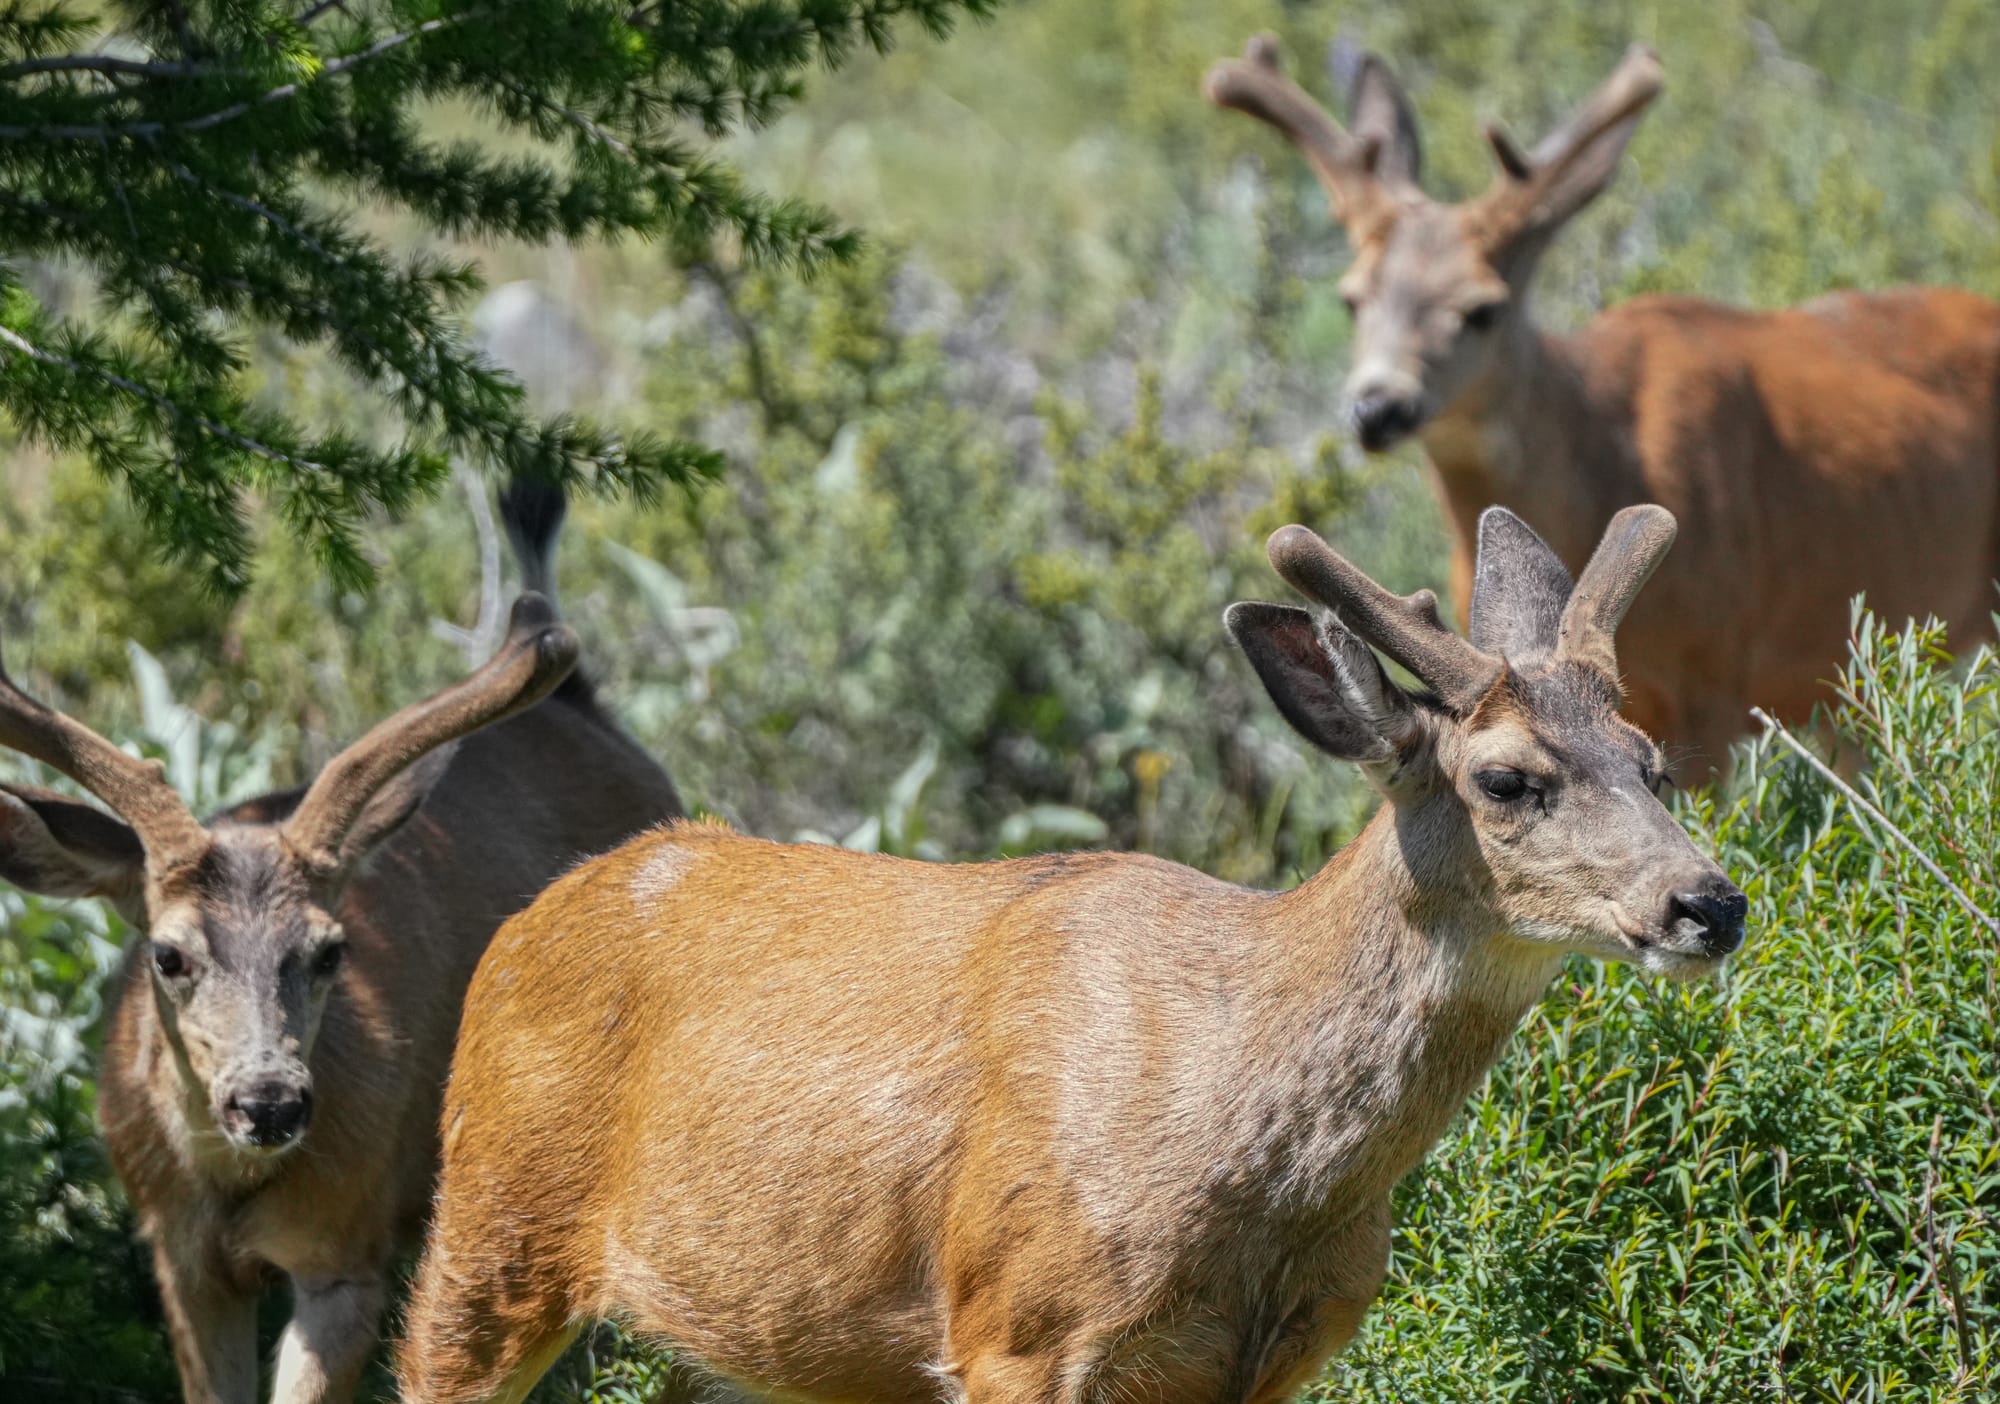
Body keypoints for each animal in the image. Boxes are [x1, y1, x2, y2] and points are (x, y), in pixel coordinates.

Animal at [0, 481, 685, 1404]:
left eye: (329, 950)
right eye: (167, 956)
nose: (269, 1102)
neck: (227, 1189)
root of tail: (581, 704)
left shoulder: (347, 1247)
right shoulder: (178, 1258)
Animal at [395, 502, 1747, 1404]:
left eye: (1650, 762)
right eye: (1505, 780)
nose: (1709, 904)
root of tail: (536, 914)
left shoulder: (1268, 1364)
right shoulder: (1018, 1322)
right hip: (491, 1225)